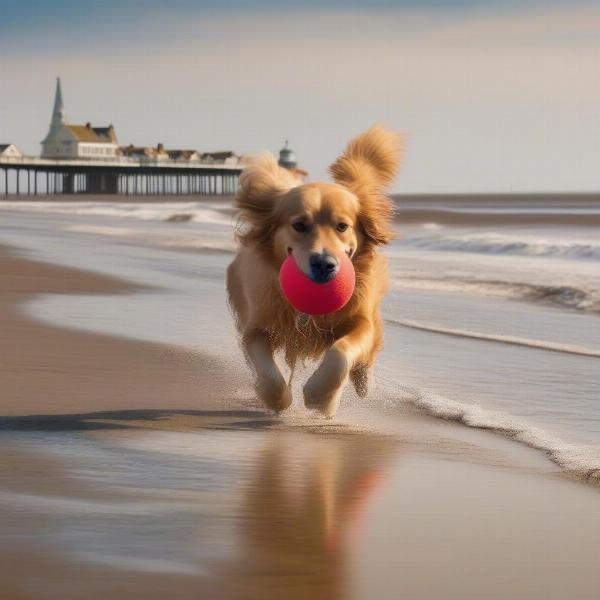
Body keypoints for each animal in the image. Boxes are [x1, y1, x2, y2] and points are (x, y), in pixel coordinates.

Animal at [227, 125, 400, 418]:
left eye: (342, 226)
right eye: (299, 225)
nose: (324, 264)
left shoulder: (359, 319)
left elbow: (341, 353)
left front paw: (322, 398)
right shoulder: (256, 326)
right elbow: (267, 372)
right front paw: (277, 400)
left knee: (370, 350)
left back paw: (363, 381)